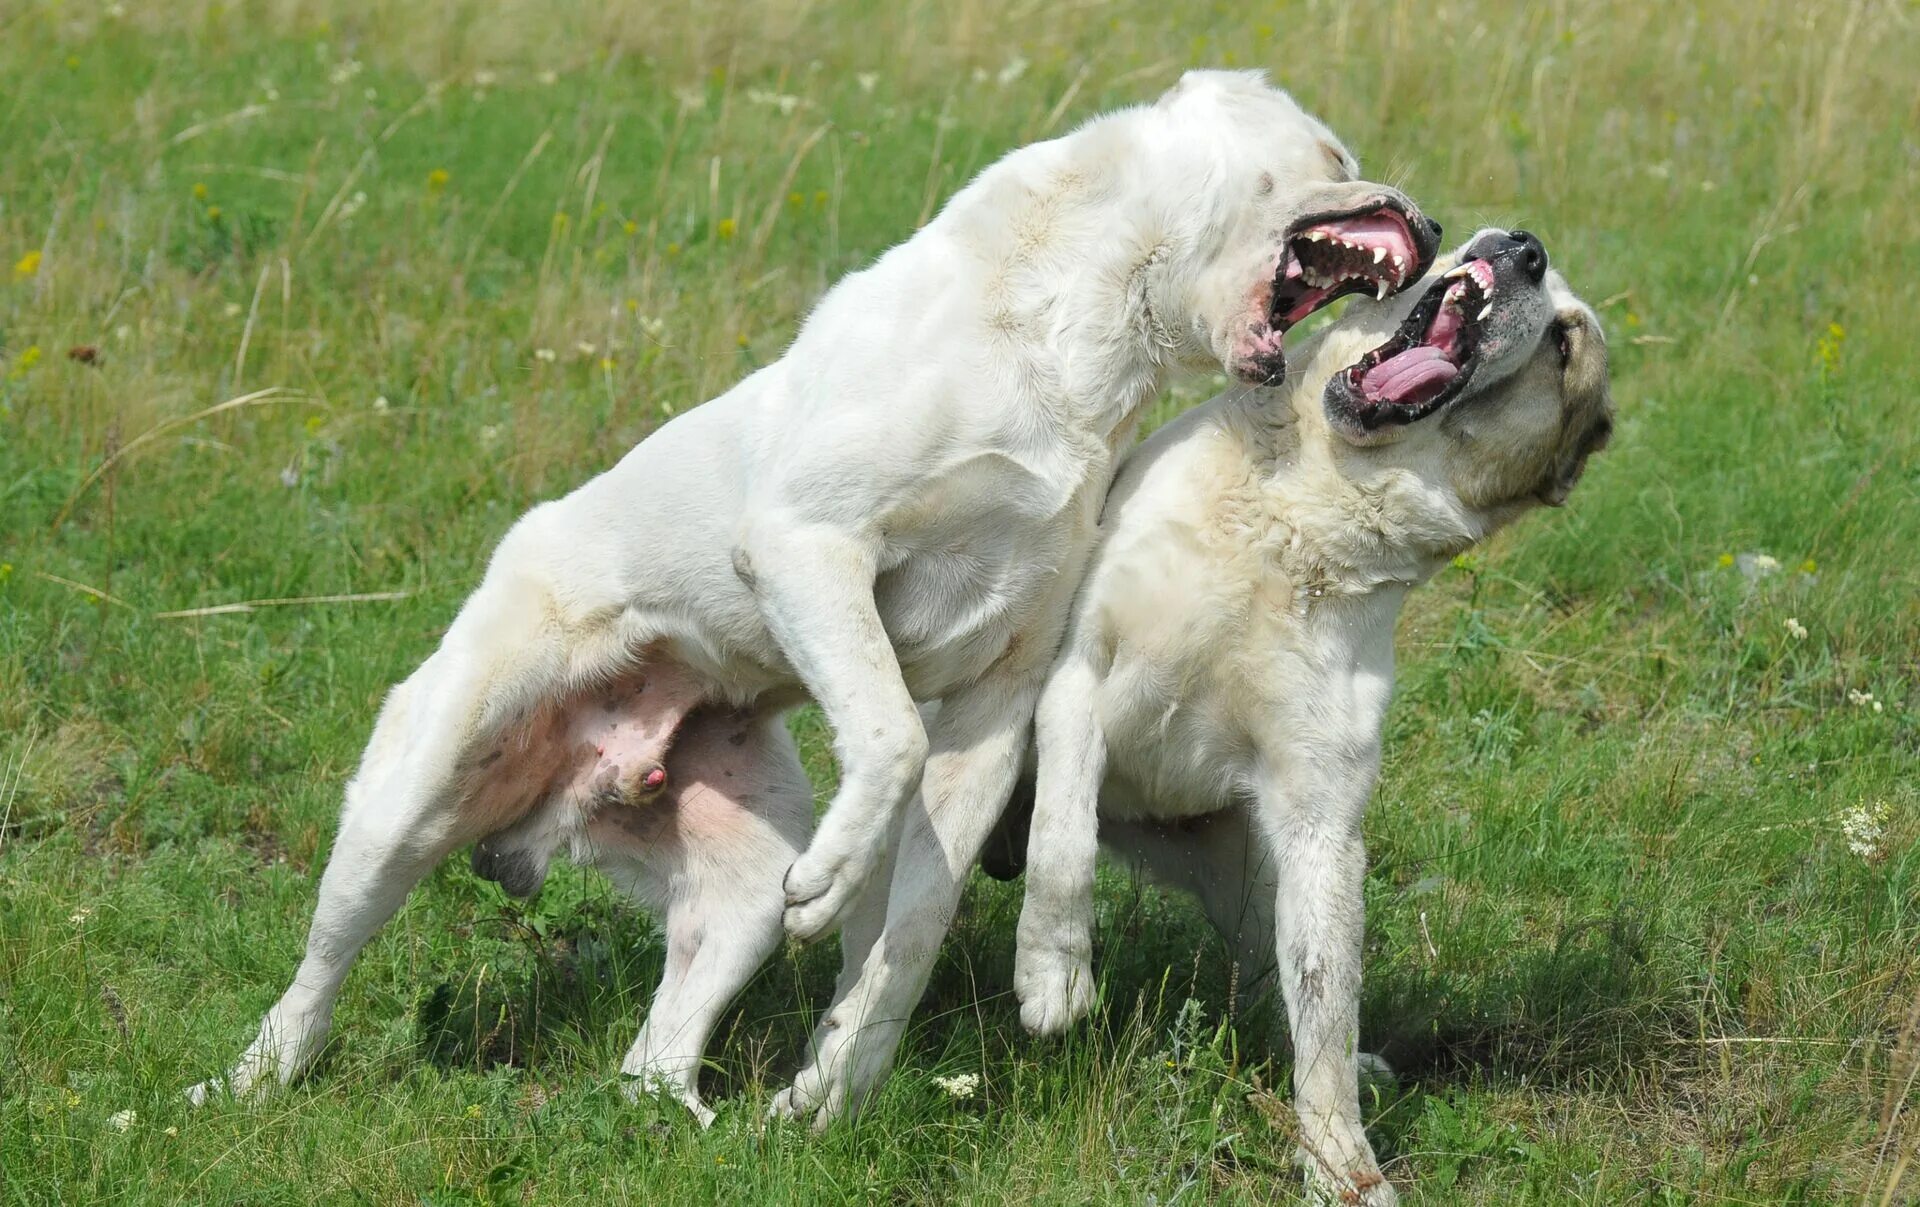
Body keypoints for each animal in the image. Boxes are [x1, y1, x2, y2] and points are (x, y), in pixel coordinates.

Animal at [1013, 230, 1612, 1197]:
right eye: (1541, 278)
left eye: (1564, 346)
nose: (1521, 248)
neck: (1307, 512)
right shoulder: (1080, 677)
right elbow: (1061, 843)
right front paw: (1053, 976)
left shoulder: (1321, 824)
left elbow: (1327, 1004)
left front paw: (1343, 1166)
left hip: (1245, 868)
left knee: (1279, 976)